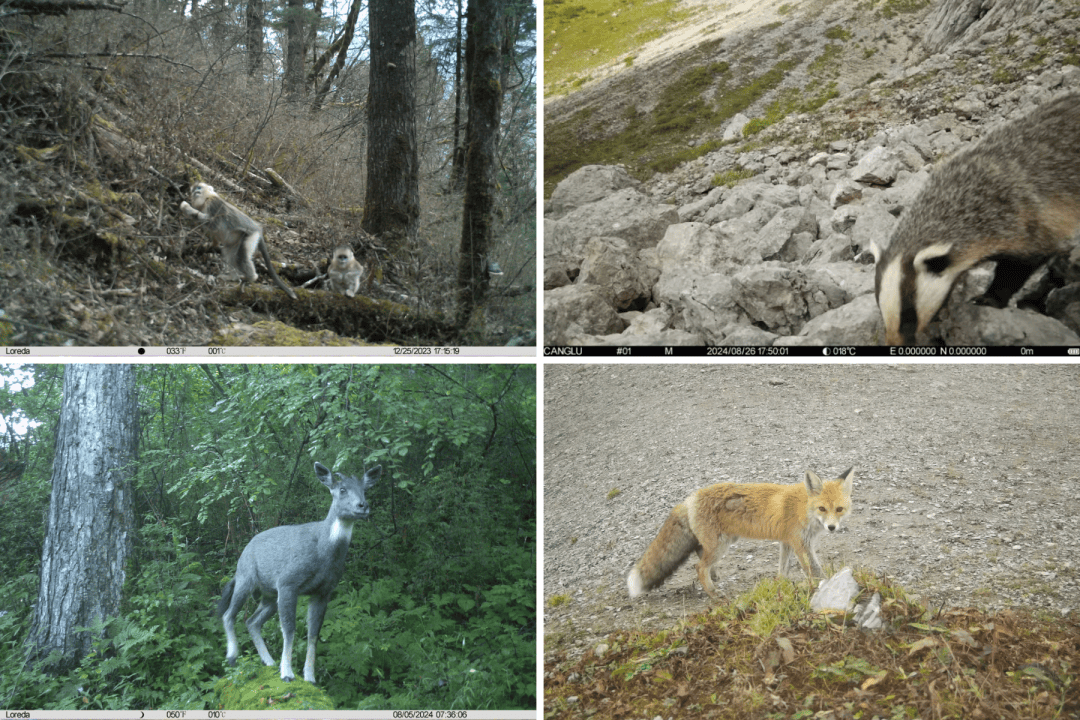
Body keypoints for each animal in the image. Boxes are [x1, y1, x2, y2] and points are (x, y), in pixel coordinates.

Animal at [630, 464, 855, 600]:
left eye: (839, 509)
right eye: (822, 509)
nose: (832, 528)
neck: (802, 508)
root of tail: (689, 499)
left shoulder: (787, 542)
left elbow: (783, 569)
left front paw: (780, 587)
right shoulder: (801, 544)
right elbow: (814, 570)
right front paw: (826, 585)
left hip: (722, 542)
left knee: (700, 555)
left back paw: (715, 576)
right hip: (720, 546)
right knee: (698, 567)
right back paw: (713, 593)